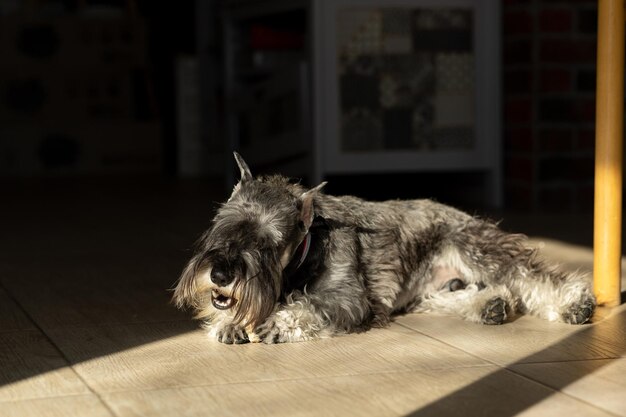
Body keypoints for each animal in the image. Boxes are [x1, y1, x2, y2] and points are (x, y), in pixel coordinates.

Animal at [172, 151, 596, 342]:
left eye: (269, 244)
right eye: (221, 225)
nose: (220, 275)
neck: (308, 248)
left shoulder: (347, 299)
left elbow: (306, 305)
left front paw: (275, 322)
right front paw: (230, 322)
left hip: (481, 249)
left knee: (532, 277)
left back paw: (575, 303)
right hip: (430, 289)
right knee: (458, 294)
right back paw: (490, 305)